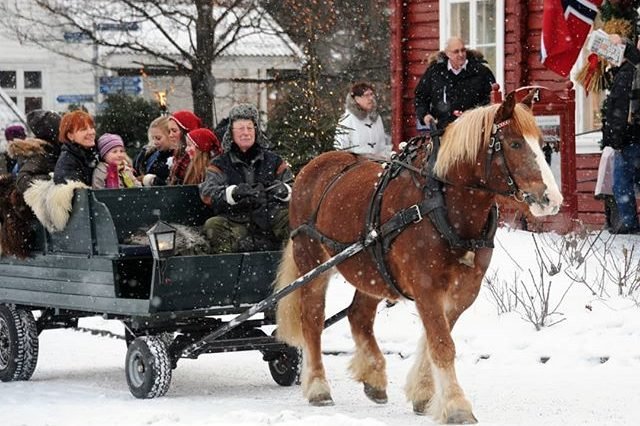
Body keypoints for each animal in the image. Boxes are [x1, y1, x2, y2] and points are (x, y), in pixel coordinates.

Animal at [272, 90, 564, 422]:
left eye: (540, 142)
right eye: (514, 143)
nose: (552, 199)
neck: (444, 204)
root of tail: (314, 164)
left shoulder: (464, 291)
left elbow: (434, 340)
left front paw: (423, 392)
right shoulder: (426, 285)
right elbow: (441, 343)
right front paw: (456, 405)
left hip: (370, 268)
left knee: (358, 315)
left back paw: (373, 376)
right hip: (313, 262)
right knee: (312, 319)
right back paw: (318, 386)